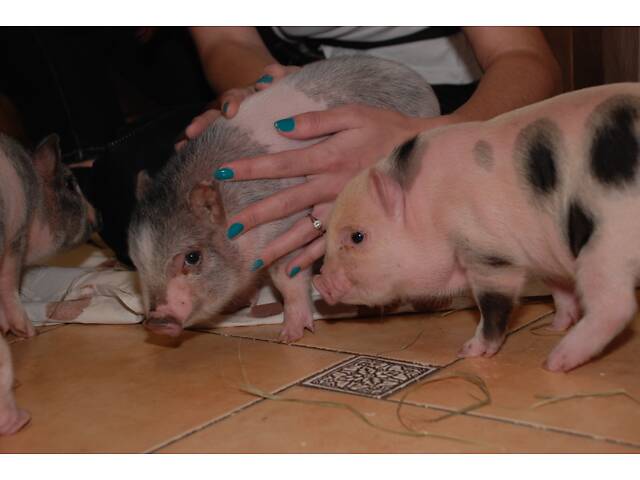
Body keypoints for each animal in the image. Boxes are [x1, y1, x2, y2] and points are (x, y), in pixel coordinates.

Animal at [0, 133, 100, 435]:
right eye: (69, 183)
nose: (99, 218)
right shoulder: (15, 241)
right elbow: (10, 288)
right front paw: (28, 332)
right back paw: (21, 419)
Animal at [128, 55, 441, 342]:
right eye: (136, 261)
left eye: (192, 257)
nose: (156, 323)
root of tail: (420, 83)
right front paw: (241, 303)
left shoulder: (288, 224)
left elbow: (287, 276)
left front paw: (290, 336)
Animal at [314, 82, 640, 373]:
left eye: (357, 237)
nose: (319, 281)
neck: (431, 208)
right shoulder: (543, 253)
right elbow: (560, 290)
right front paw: (554, 325)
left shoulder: (488, 248)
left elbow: (494, 303)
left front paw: (469, 351)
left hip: (606, 242)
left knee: (615, 306)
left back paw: (553, 363)